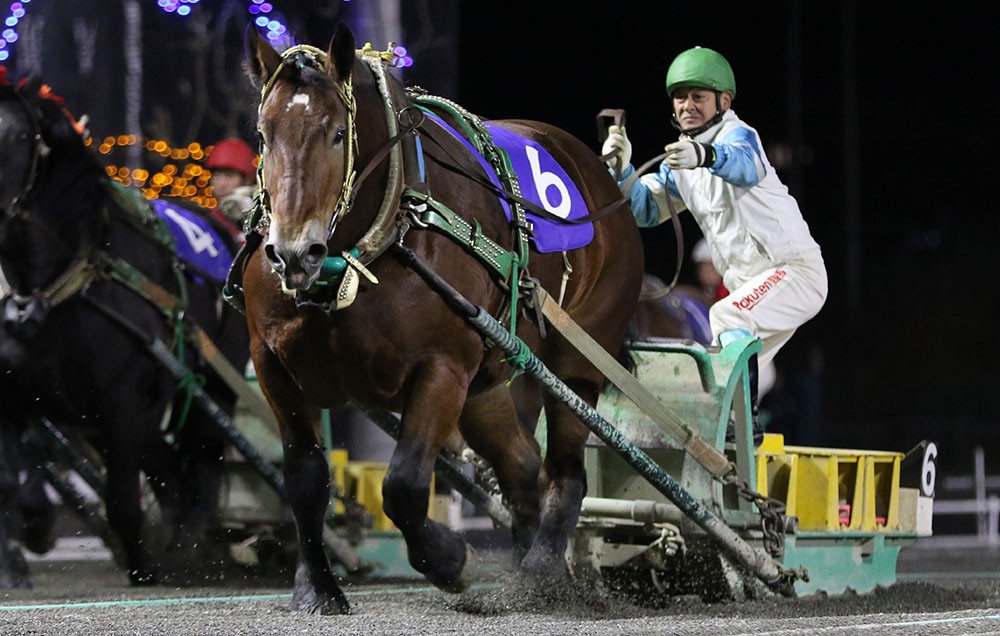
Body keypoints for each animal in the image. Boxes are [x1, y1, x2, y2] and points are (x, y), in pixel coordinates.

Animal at [0, 70, 250, 587]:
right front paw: (27, 543)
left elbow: (121, 499)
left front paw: (145, 565)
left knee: (203, 457)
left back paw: (189, 548)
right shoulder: (21, 397)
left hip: (214, 382)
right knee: (170, 471)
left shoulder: (123, 404)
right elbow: (15, 481)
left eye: (17, 137)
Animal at [232, 24, 644, 614]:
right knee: (522, 468)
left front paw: (449, 560)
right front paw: (317, 587)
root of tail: (606, 181)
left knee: (565, 472)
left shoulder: (442, 368)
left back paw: (542, 572)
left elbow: (403, 485)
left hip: (579, 361)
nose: (292, 254)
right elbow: (305, 479)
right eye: (264, 136)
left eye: (337, 134)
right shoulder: (273, 365)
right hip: (487, 384)